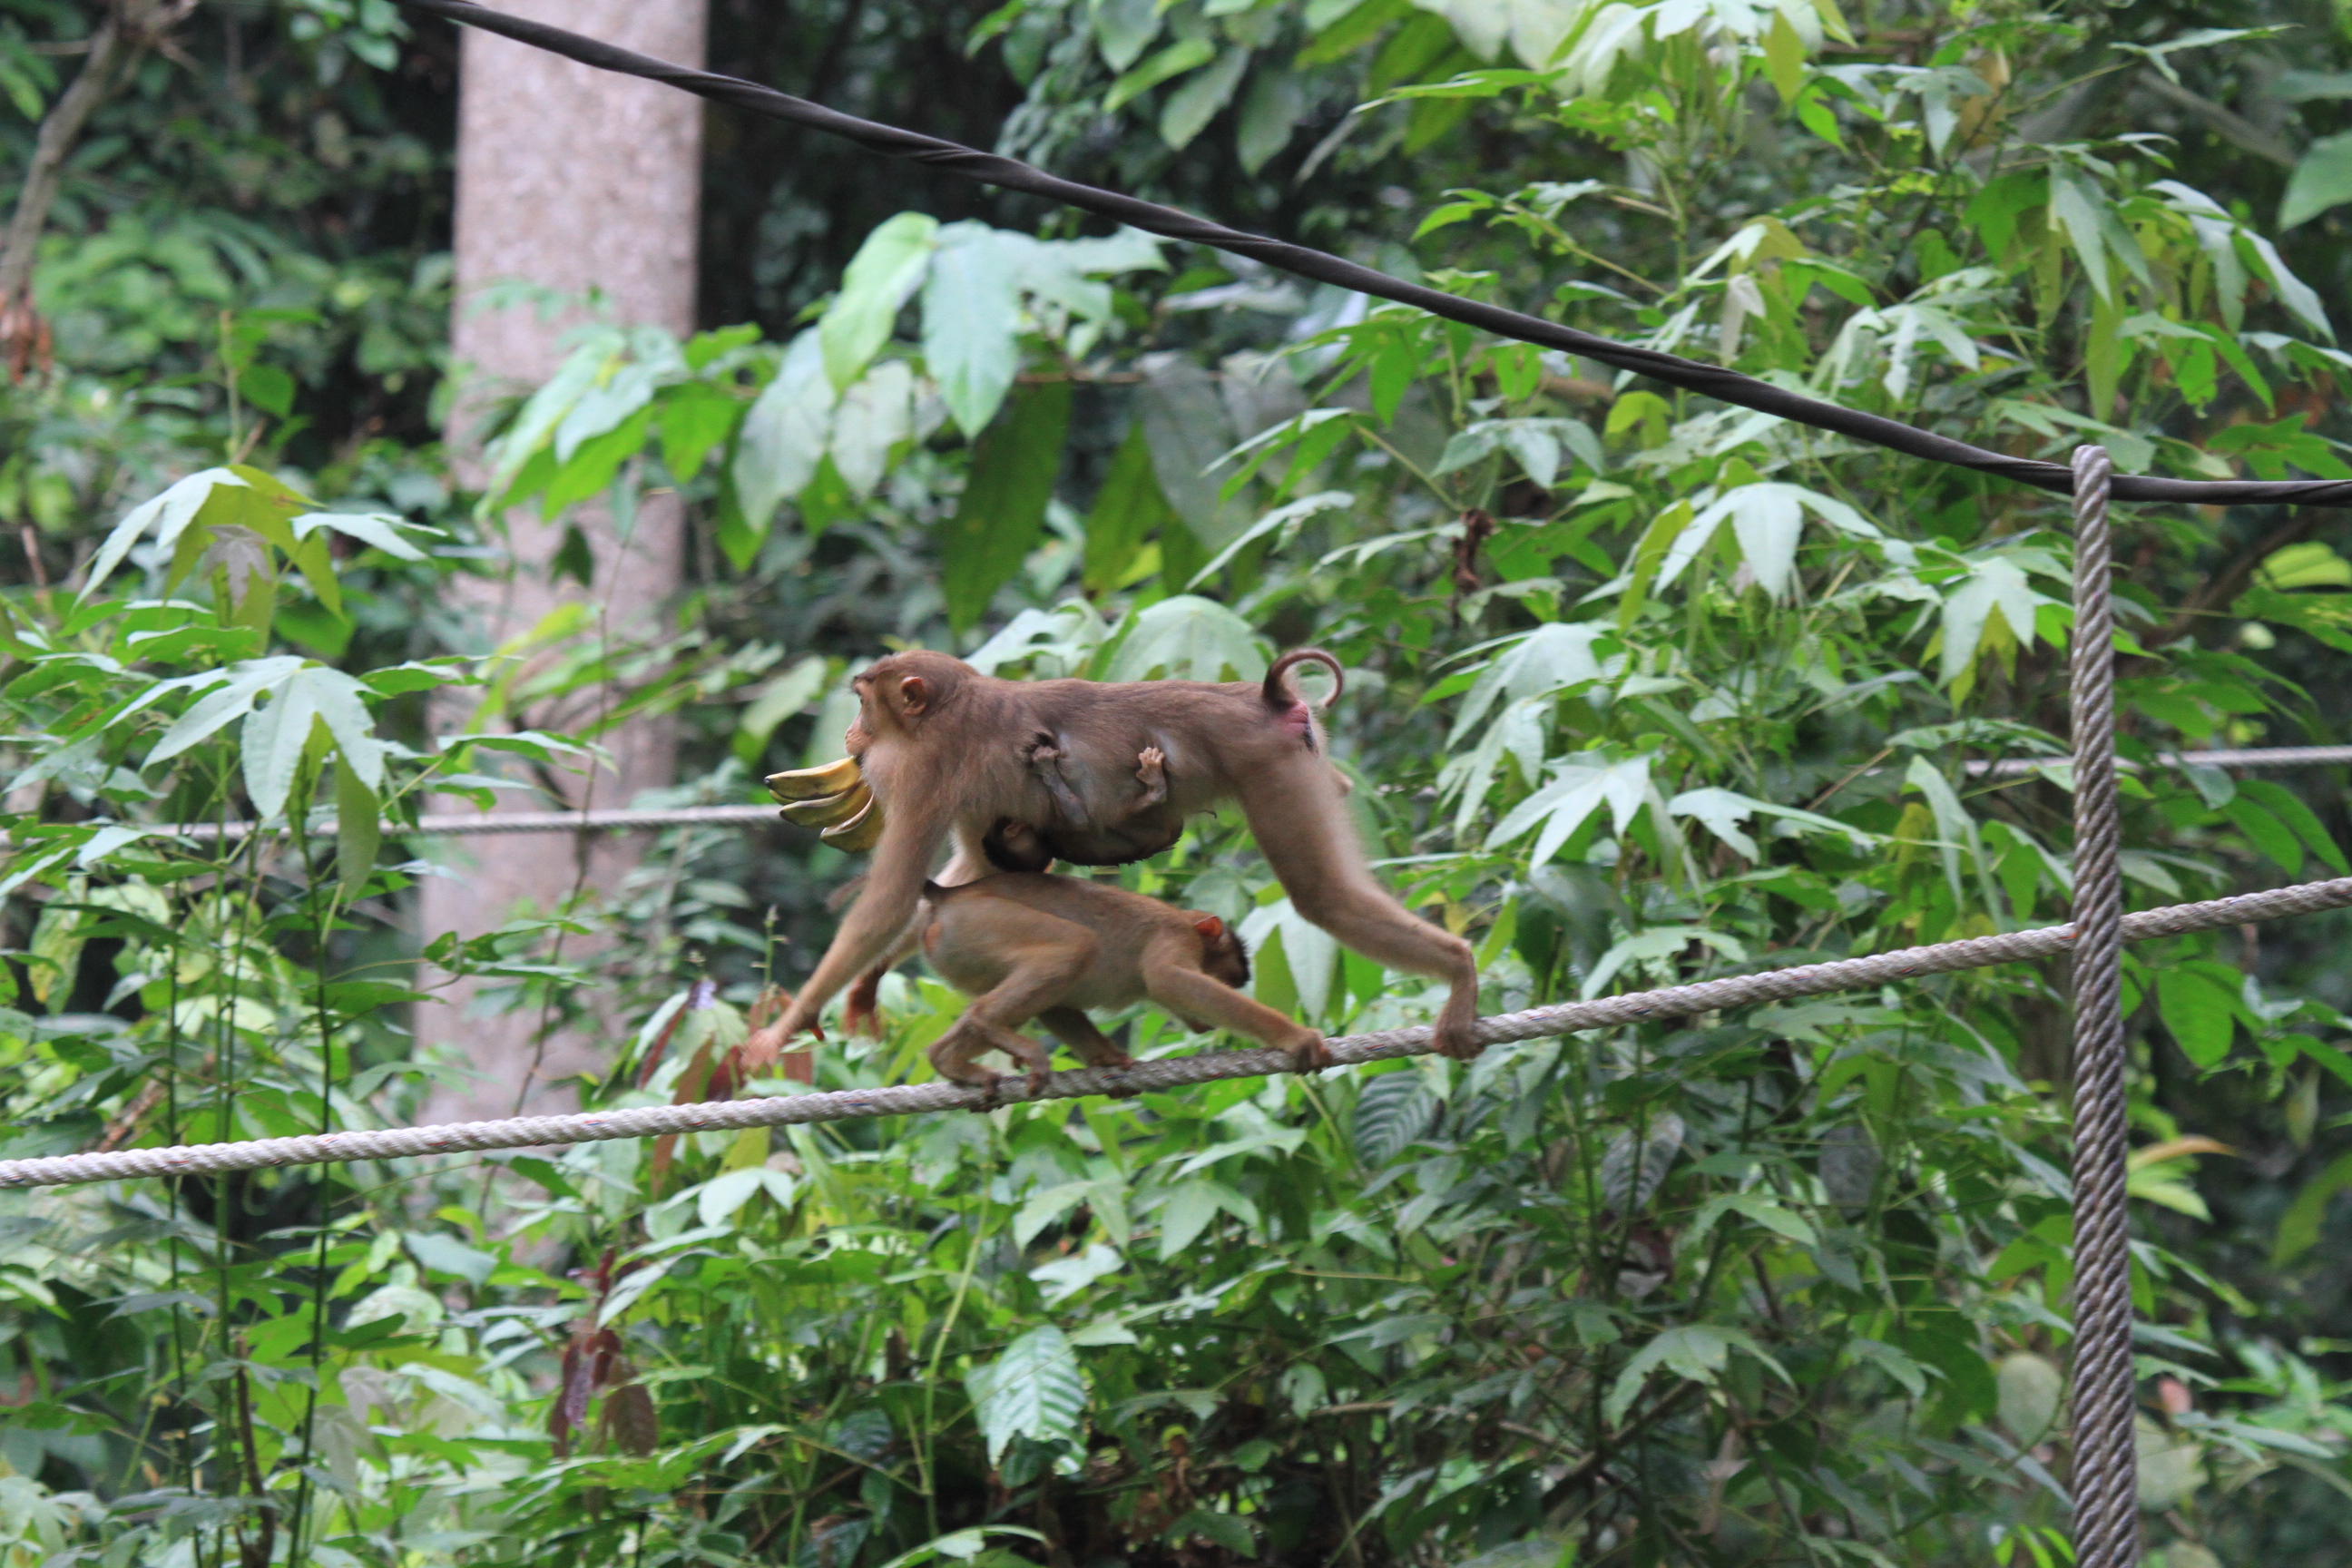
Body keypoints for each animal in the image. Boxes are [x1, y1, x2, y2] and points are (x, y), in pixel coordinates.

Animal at [761, 643, 1476, 1062]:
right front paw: (868, 981)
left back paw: (1459, 966)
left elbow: (888, 900)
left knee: (1322, 896)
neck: (956, 704)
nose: (850, 736)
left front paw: (780, 1030)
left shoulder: (918, 768)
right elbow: (975, 874)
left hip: (1264, 760)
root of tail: (1264, 700)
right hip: (1296, 754)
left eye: (862, 703)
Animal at [912, 869, 1326, 1104]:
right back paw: (987, 1023)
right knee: (1077, 946)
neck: (1182, 921)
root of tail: (950, 896)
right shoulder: (1175, 937)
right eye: (1225, 979)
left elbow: (1057, 1006)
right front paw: (1294, 1036)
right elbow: (1166, 979)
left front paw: (1108, 1062)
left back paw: (945, 1058)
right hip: (981, 922)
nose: (1203, 1024)